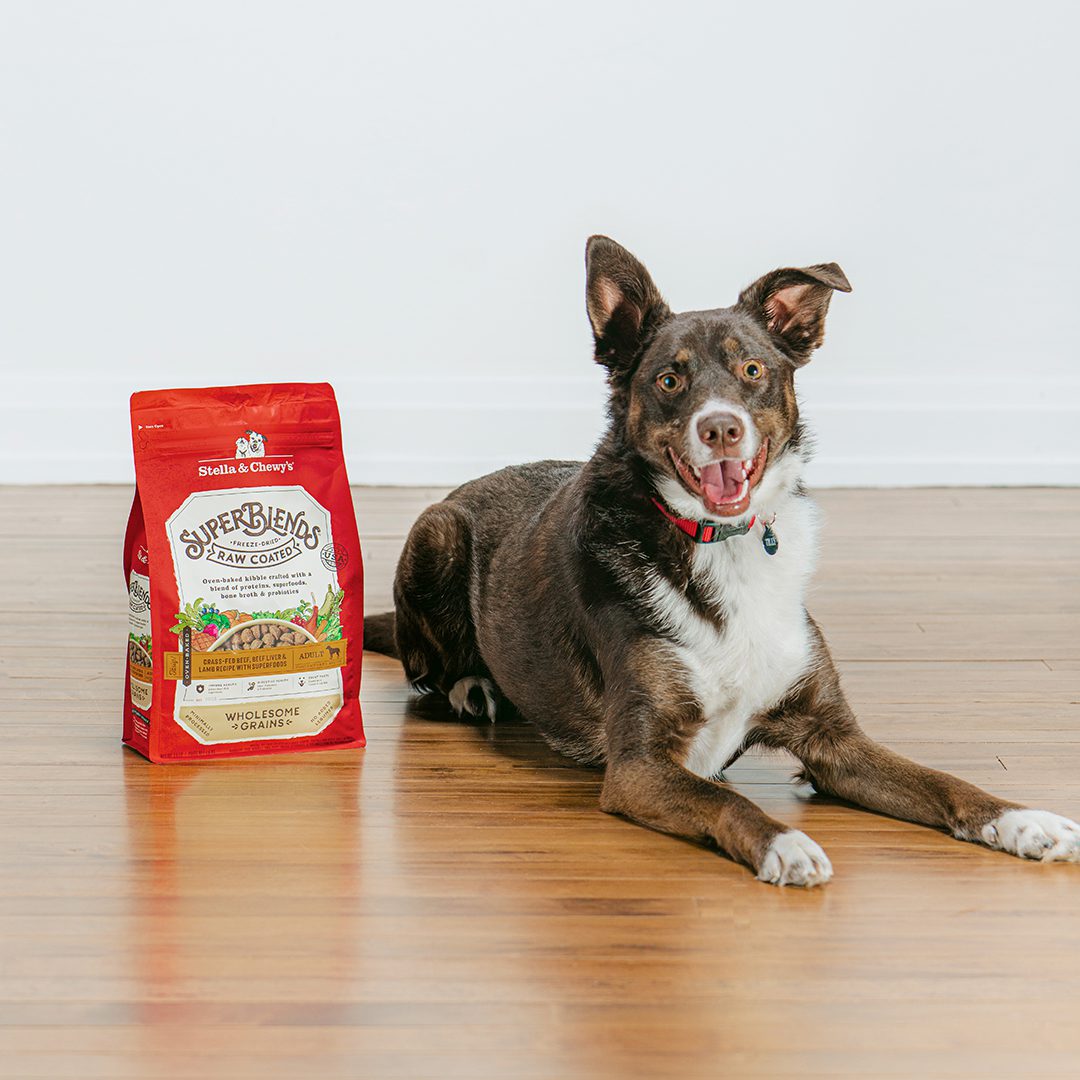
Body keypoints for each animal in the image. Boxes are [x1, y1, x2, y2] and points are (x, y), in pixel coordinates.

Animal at [365, 236, 1080, 885]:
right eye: (669, 379)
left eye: (754, 371)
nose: (721, 428)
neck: (723, 542)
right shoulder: (640, 767)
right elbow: (721, 797)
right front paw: (784, 843)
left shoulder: (835, 744)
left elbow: (941, 780)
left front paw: (1021, 819)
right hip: (434, 535)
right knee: (424, 667)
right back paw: (473, 685)